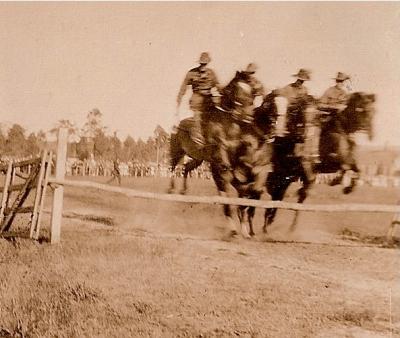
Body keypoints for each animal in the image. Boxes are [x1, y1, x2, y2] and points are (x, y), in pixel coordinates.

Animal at [168, 71, 276, 238]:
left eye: (250, 88)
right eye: (239, 88)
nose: (248, 112)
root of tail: (178, 125)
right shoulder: (219, 146)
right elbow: (223, 151)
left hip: (197, 159)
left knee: (185, 168)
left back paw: (183, 190)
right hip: (177, 151)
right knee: (173, 167)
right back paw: (172, 189)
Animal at [262, 92, 376, 235]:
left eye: (374, 111)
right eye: (362, 109)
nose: (370, 133)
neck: (341, 131)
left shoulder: (344, 161)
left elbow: (357, 171)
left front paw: (347, 189)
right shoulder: (330, 162)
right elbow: (344, 168)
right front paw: (338, 182)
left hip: (285, 178)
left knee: (281, 197)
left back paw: (276, 224)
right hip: (281, 175)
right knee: (278, 195)